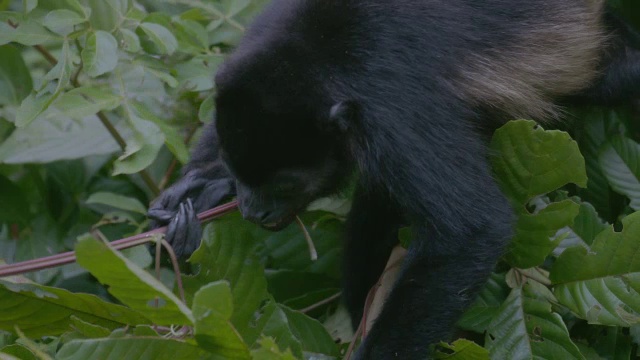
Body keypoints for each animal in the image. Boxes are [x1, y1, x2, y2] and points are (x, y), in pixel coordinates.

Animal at [149, 1, 640, 358]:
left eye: (286, 186)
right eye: (239, 172)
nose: (253, 209)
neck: (319, 59)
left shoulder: (393, 108)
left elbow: (472, 228)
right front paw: (197, 192)